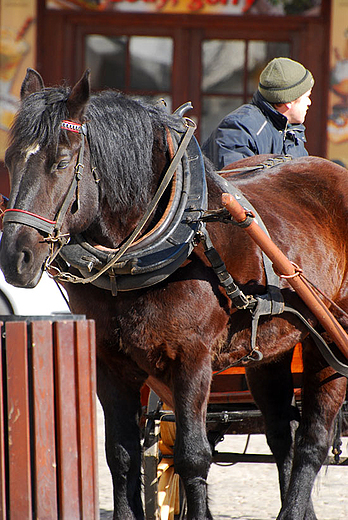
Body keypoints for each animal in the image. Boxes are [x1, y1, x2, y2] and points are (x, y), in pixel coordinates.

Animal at [0, 70, 348, 520]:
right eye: (9, 160)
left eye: (60, 162)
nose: (15, 257)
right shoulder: (111, 363)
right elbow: (120, 455)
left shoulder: (192, 360)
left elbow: (193, 456)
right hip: (272, 350)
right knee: (282, 435)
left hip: (329, 345)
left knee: (312, 442)